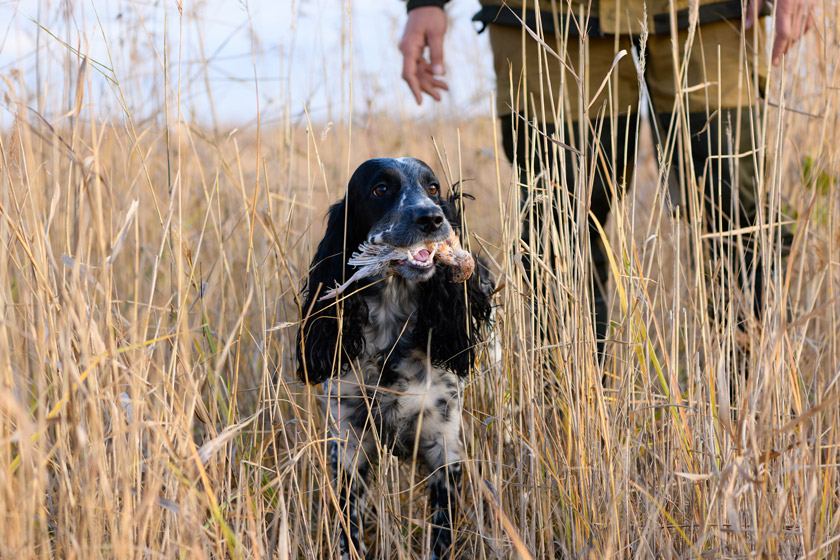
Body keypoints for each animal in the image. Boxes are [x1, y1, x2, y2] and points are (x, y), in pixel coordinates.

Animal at [296, 158, 488, 560]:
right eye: (381, 189)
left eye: (432, 187)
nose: (431, 218)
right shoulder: (348, 448)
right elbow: (348, 531)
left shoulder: (444, 451)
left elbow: (441, 536)